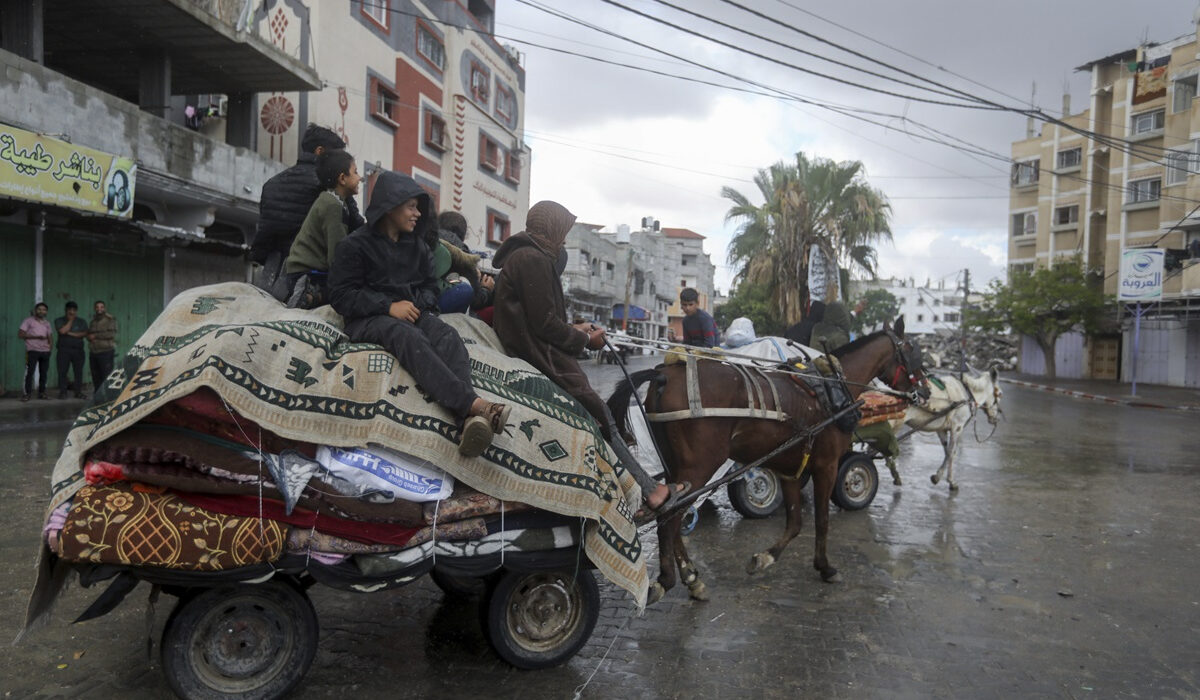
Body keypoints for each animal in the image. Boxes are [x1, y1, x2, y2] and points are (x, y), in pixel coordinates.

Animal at [609, 321, 926, 602]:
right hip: (700, 466)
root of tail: (664, 376)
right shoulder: (827, 465)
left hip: (676, 467)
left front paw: (765, 558)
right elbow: (822, 520)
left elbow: (796, 522)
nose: (923, 390)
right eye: (912, 350)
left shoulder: (790, 469)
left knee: (672, 515)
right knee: (668, 519)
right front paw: (826, 567)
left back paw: (692, 578)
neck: (832, 388)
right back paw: (666, 580)